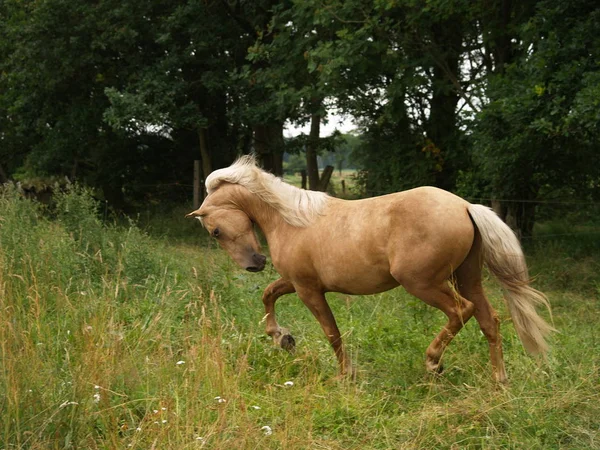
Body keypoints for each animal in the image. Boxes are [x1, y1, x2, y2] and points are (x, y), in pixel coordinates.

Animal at [186, 156, 552, 382]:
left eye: (215, 231)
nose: (254, 264)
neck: (291, 220)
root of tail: (464, 206)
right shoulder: (296, 281)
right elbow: (267, 295)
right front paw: (283, 339)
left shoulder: (308, 289)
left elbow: (331, 332)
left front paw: (343, 375)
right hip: (467, 276)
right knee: (490, 320)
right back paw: (499, 380)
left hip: (424, 283)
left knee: (462, 311)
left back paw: (433, 361)